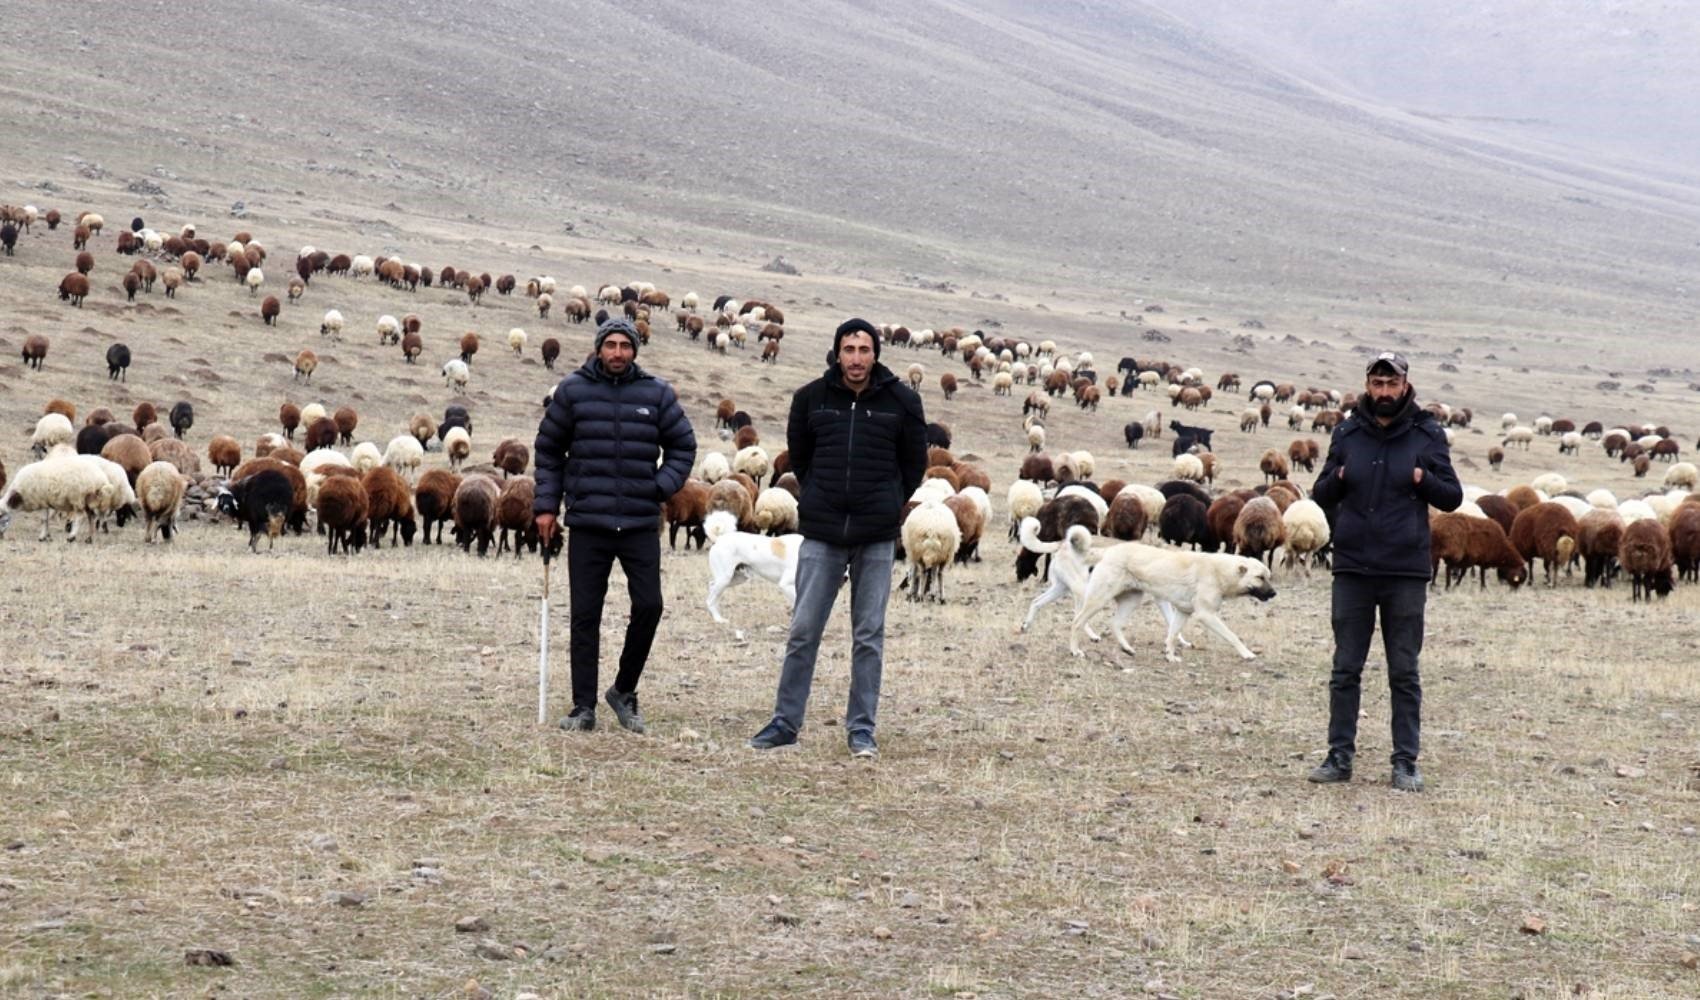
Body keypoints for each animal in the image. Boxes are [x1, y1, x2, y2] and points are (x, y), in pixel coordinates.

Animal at [1067, 544, 1271, 659]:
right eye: (1260, 577)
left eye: (1267, 576)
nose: (1274, 593)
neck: (1221, 571)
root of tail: (1107, 551)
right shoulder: (1206, 615)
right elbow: (1232, 635)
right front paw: (1247, 654)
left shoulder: (1183, 612)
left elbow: (1172, 635)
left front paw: (1170, 657)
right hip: (1099, 599)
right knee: (1076, 622)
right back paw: (1075, 651)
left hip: (1132, 600)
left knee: (1115, 623)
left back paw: (1127, 649)